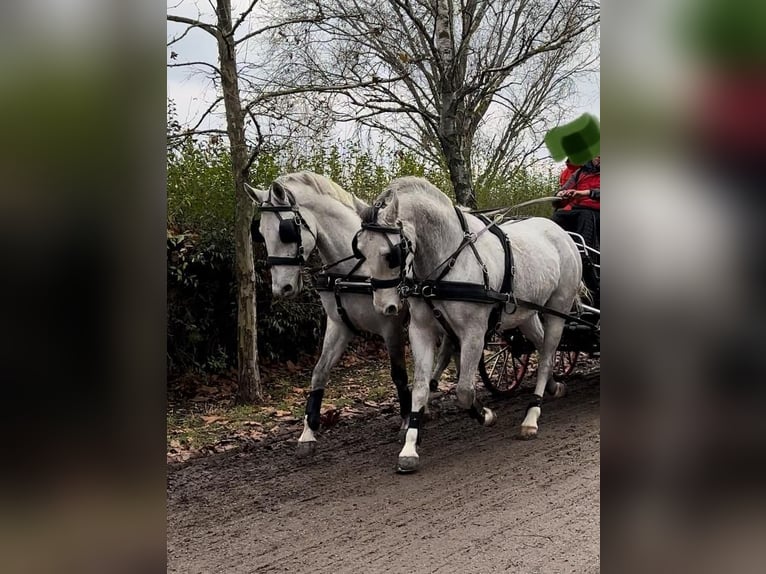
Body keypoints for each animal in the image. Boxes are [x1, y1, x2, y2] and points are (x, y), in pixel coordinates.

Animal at [243, 173, 452, 456]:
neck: (354, 270)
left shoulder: (391, 325)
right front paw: (308, 431)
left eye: (286, 232)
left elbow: (398, 374)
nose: (281, 288)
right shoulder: (339, 324)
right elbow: (319, 372)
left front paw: (406, 420)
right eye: (261, 234)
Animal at [354, 178, 584, 474]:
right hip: (527, 313)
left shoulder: (474, 333)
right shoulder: (421, 331)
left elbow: (463, 390)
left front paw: (483, 414)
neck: (448, 262)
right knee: (543, 345)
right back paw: (554, 386)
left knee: (546, 356)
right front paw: (410, 446)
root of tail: (561, 233)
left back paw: (532, 415)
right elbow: (420, 387)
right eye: (360, 251)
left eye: (391, 254)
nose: (385, 307)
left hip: (558, 310)